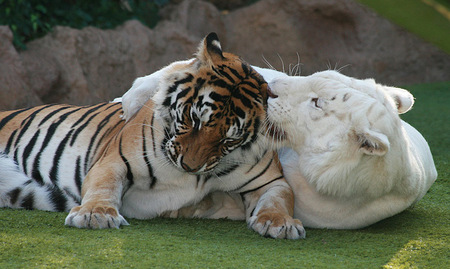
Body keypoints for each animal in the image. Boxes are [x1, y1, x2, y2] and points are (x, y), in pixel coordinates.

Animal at [0, 32, 306, 238]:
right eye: (195, 120)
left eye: (228, 140)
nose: (189, 166)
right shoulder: (112, 162)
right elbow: (103, 187)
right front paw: (95, 214)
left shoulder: (270, 181)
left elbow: (279, 200)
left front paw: (281, 223)